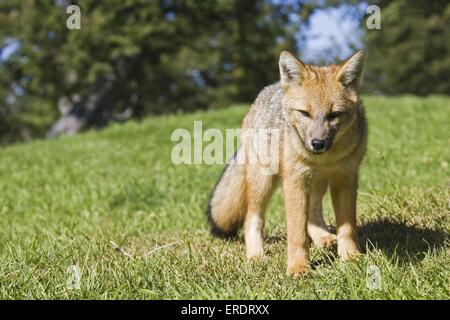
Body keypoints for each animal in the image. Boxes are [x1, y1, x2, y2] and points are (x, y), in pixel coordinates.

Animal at [206, 50, 368, 278]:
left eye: (334, 115)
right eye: (305, 113)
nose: (317, 143)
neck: (325, 159)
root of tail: (271, 88)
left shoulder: (346, 179)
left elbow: (347, 227)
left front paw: (351, 257)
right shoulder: (295, 181)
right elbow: (297, 233)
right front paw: (298, 266)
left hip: (318, 183)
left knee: (313, 213)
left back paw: (323, 237)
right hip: (264, 182)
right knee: (251, 218)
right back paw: (255, 255)